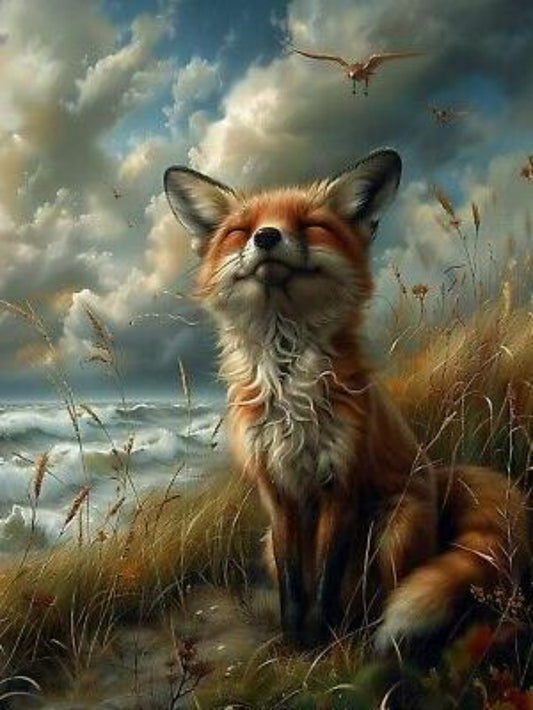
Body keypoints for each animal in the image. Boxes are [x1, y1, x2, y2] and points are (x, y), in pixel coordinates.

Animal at [163, 149, 529, 652]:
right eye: (240, 230)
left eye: (310, 225)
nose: (266, 236)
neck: (288, 377)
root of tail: (437, 477)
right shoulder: (277, 493)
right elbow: (295, 585)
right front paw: (294, 640)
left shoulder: (341, 483)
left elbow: (325, 582)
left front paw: (319, 640)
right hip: (268, 544)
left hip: (394, 531)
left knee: (379, 596)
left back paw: (367, 636)